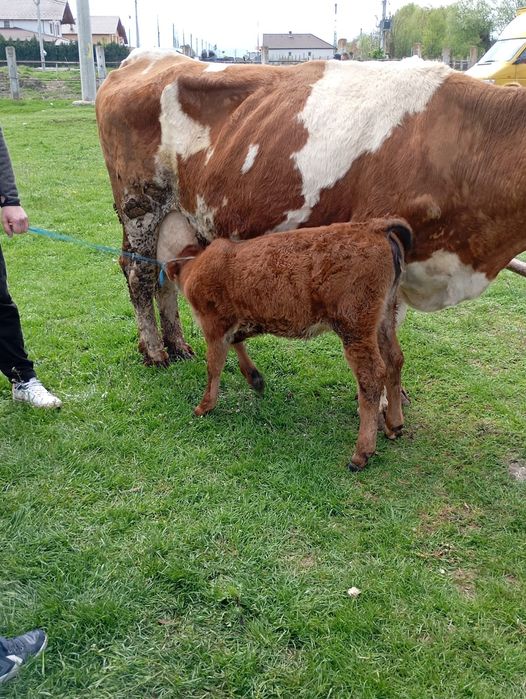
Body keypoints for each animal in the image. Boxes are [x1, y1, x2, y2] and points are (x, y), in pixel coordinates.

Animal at [95, 50, 526, 368]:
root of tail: (145, 57)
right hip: (140, 204)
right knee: (139, 275)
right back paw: (155, 352)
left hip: (174, 214)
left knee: (162, 275)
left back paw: (178, 345)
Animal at [164, 218, 412, 470]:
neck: (196, 265)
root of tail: (374, 226)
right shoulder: (234, 324)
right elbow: (237, 342)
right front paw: (255, 379)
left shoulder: (214, 324)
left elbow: (214, 366)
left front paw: (204, 406)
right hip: (384, 319)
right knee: (394, 360)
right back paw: (394, 425)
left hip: (354, 324)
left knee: (371, 376)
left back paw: (361, 453)